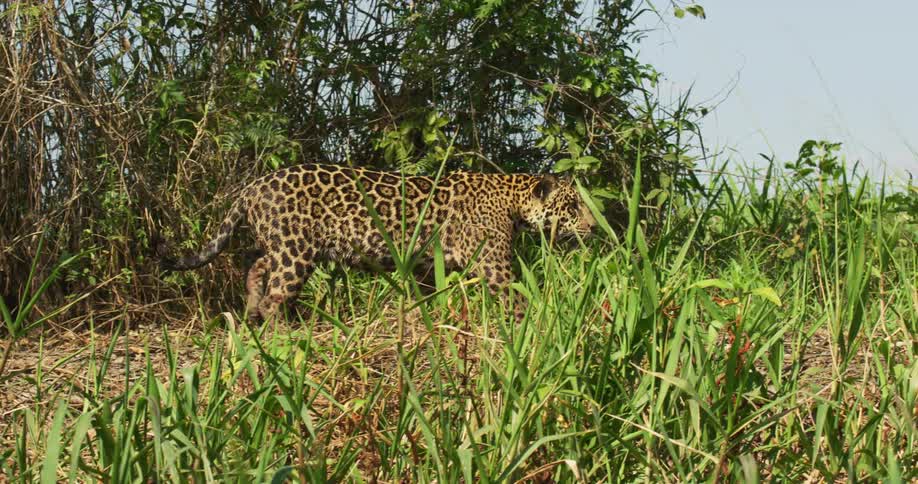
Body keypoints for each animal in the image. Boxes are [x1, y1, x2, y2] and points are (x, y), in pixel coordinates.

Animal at [160, 163, 596, 320]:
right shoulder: (494, 265)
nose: (594, 226)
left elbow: (426, 293)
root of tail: (253, 185)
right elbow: (517, 294)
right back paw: (278, 329)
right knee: (277, 294)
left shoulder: (424, 263)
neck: (511, 199)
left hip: (283, 245)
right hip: (296, 253)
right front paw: (535, 320)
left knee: (256, 263)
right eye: (573, 205)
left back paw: (250, 306)